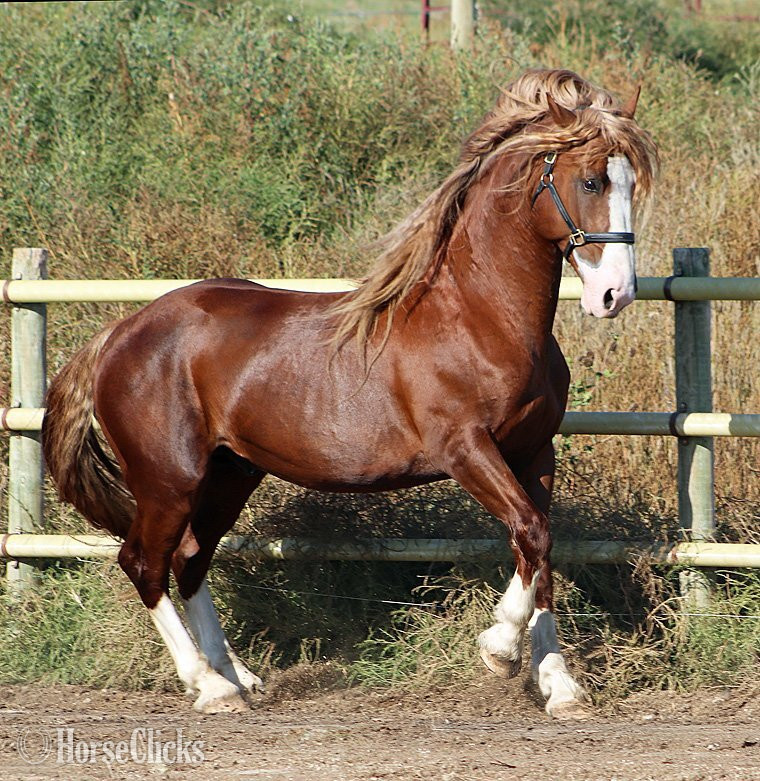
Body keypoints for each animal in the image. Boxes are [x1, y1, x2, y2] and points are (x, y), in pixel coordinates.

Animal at [42, 68, 658, 718]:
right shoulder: (465, 449)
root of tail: (118, 335)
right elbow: (532, 535)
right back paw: (210, 686)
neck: (479, 318)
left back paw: (240, 678)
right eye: (590, 180)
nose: (615, 294)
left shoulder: (535, 452)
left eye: (629, 183)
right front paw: (499, 649)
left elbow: (538, 549)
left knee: (190, 560)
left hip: (231, 473)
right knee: (145, 563)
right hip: (168, 478)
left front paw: (558, 685)